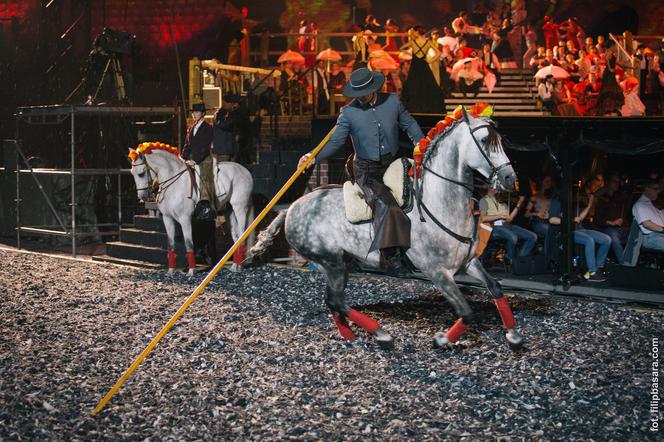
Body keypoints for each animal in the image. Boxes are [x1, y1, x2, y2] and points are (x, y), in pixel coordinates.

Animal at [249, 107, 524, 348]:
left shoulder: (469, 262)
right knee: (336, 301)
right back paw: (382, 334)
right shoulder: (437, 272)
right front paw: (442, 339)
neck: (439, 201)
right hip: (331, 262)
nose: (510, 178)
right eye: (485, 140)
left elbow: (495, 287)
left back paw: (350, 335)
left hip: (340, 263)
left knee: (333, 302)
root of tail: (292, 208)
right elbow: (466, 312)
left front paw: (513, 335)